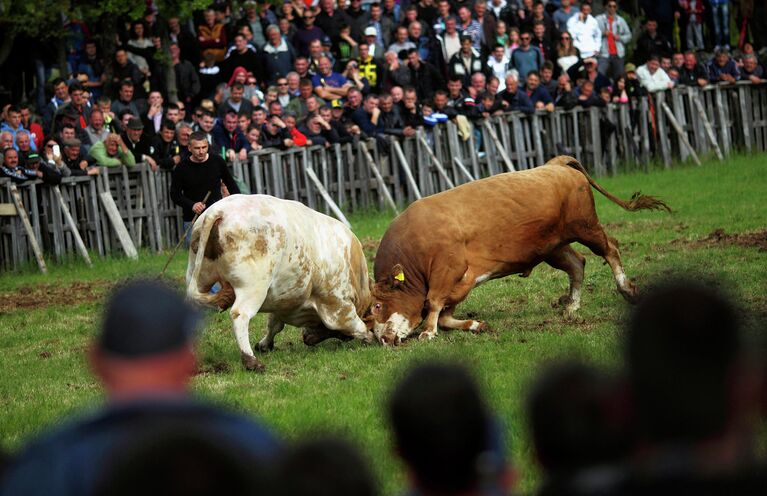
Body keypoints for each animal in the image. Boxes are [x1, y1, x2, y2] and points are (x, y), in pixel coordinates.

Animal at [188, 194, 376, 368]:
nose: (307, 337)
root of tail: (218, 211)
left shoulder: (285, 301)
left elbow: (274, 324)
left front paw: (264, 344)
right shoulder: (338, 305)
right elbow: (357, 326)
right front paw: (370, 338)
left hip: (200, 277)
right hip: (252, 287)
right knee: (239, 315)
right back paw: (250, 361)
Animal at [368, 155, 668, 344]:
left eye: (377, 305)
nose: (383, 339)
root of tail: (554, 165)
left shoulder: (448, 269)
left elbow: (433, 303)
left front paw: (428, 332)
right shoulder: (461, 282)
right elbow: (445, 315)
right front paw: (474, 325)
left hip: (586, 227)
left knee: (610, 250)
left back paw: (626, 289)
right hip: (553, 247)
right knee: (577, 264)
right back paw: (572, 305)